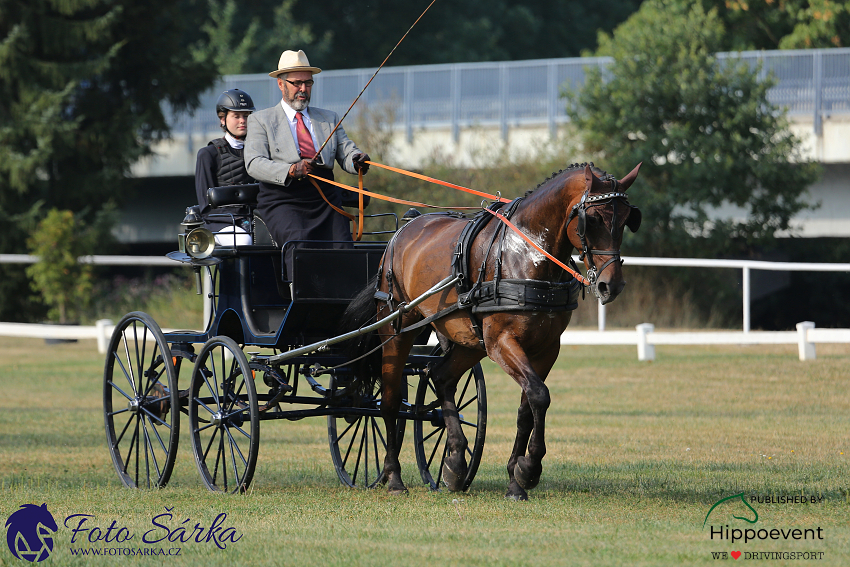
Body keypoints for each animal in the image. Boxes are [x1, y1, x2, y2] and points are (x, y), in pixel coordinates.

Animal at [342, 162, 640, 500]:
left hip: (469, 341)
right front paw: (530, 468)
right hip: (398, 330)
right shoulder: (501, 342)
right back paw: (394, 477)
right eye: (593, 219)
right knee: (390, 401)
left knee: (441, 377)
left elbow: (528, 405)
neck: (527, 253)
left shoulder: (547, 348)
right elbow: (539, 395)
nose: (611, 285)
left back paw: (455, 463)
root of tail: (404, 230)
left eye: (627, 219)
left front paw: (516, 479)